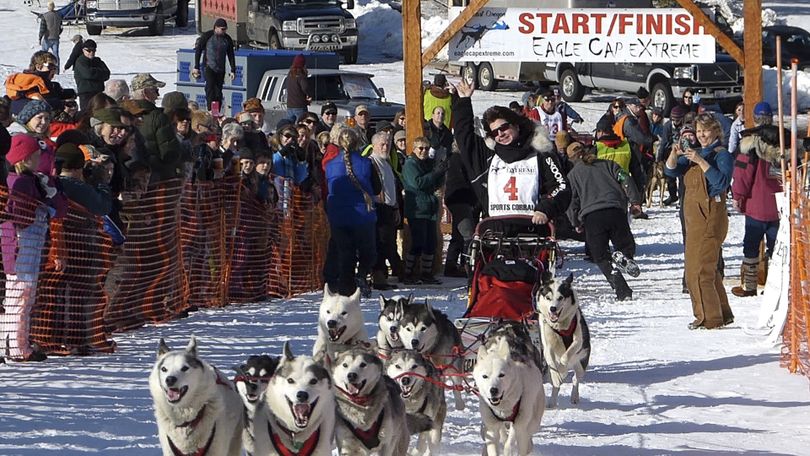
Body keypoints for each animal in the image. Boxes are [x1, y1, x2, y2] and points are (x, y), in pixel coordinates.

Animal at [470, 322, 548, 454]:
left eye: (501, 375)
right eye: (485, 376)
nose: (493, 390)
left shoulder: (519, 424)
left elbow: (510, 444)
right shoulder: (492, 427)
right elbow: (494, 443)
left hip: (533, 420)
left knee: (526, 438)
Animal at [536, 272, 588, 408]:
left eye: (560, 297)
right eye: (548, 298)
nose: (553, 308)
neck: (559, 326)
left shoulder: (578, 340)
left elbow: (568, 353)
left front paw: (563, 366)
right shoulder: (547, 344)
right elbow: (551, 360)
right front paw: (557, 374)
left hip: (581, 363)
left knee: (576, 379)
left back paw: (574, 396)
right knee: (556, 385)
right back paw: (552, 401)